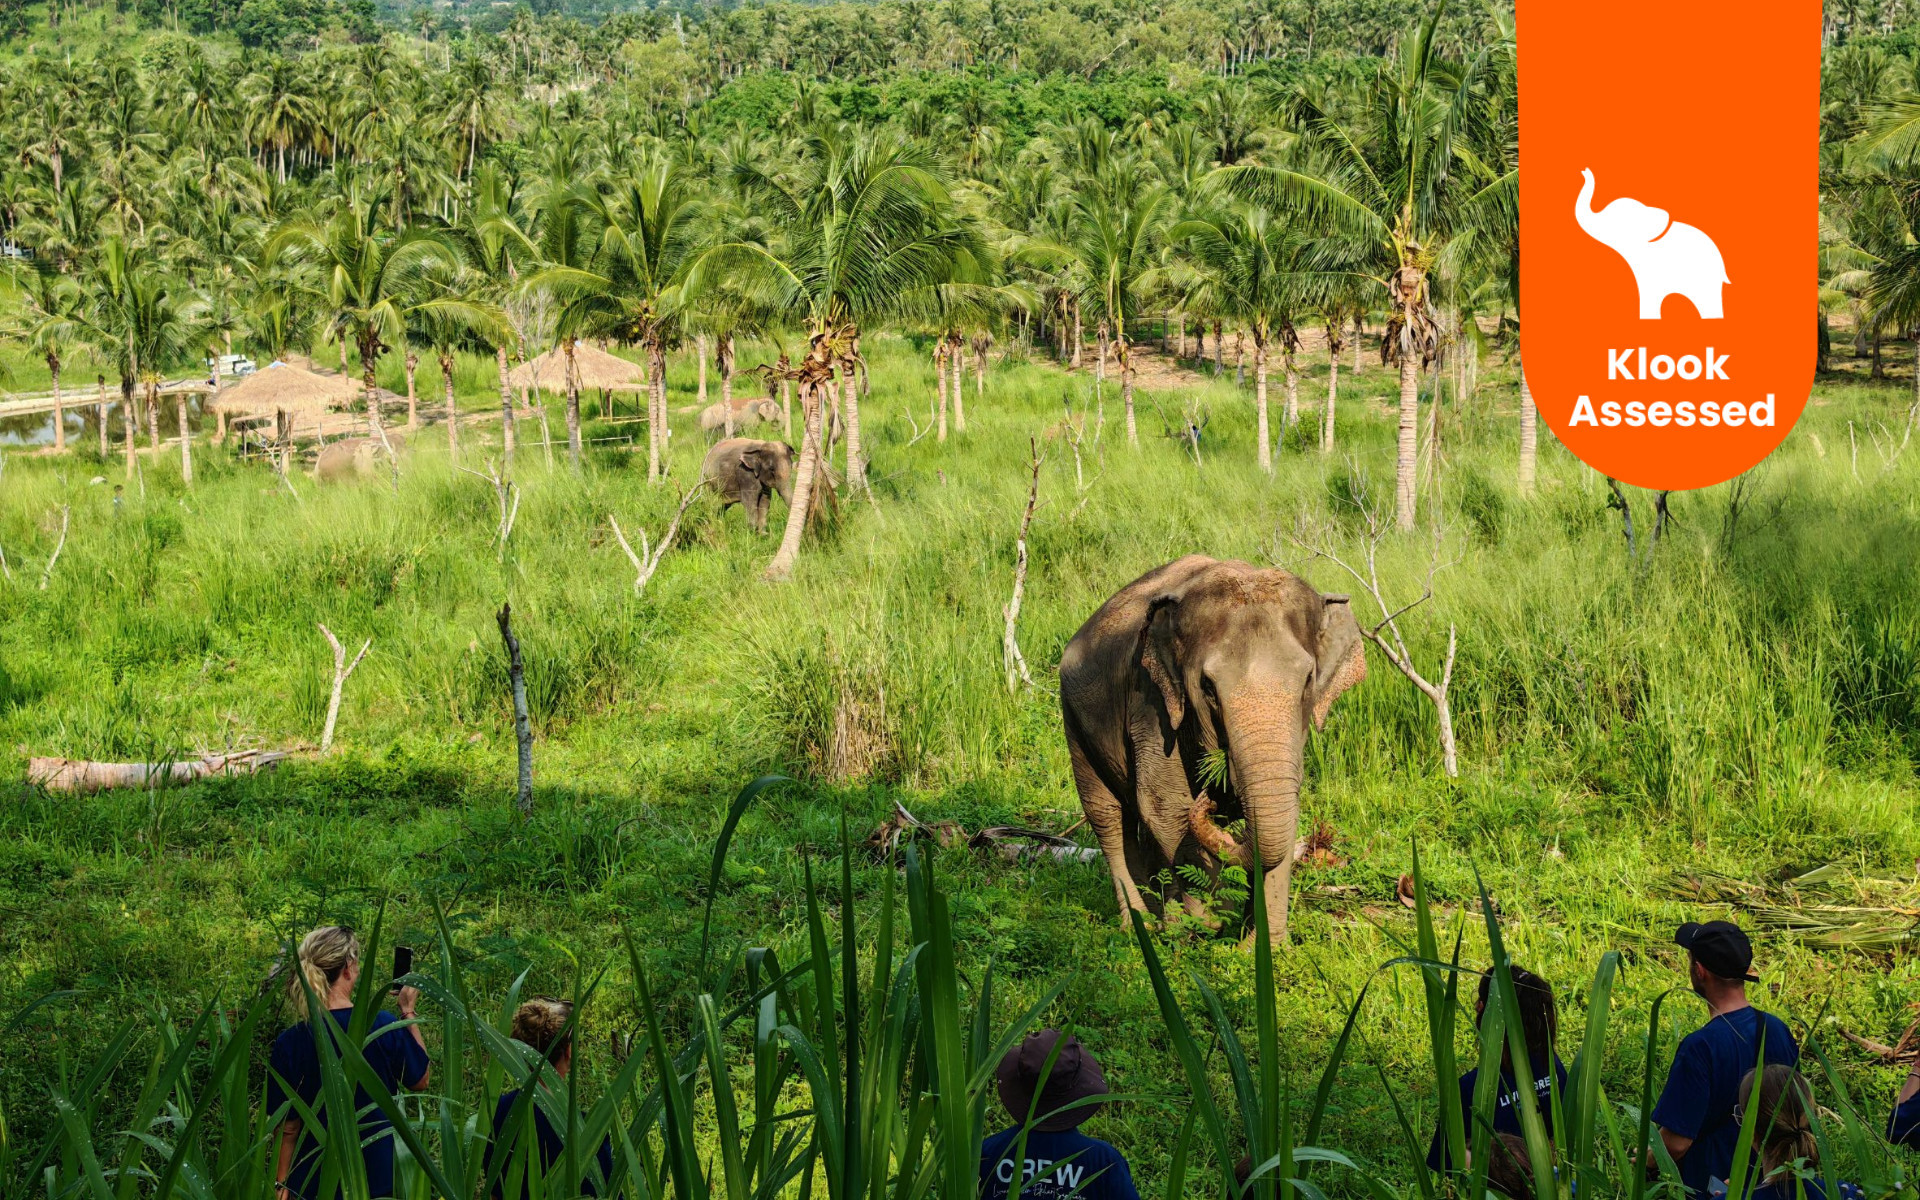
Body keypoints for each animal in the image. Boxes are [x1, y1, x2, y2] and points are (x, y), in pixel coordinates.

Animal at [1058, 555, 1366, 946]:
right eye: (1207, 686)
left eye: (1308, 680)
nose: (1212, 800)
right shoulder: (1151, 702)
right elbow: (1166, 804)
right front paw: (1212, 918)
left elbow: (1286, 811)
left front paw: (1263, 948)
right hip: (1074, 717)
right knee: (1108, 815)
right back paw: (1144, 927)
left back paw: (1167, 919)